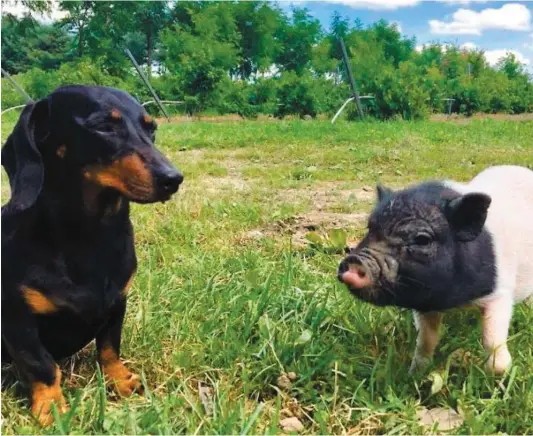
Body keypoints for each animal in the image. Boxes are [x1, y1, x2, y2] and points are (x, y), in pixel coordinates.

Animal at [336, 164, 532, 374]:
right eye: (370, 229)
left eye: (422, 239)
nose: (355, 260)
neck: (453, 300)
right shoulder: (424, 304)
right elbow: (426, 340)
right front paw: (415, 373)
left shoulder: (499, 293)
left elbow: (492, 340)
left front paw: (500, 373)